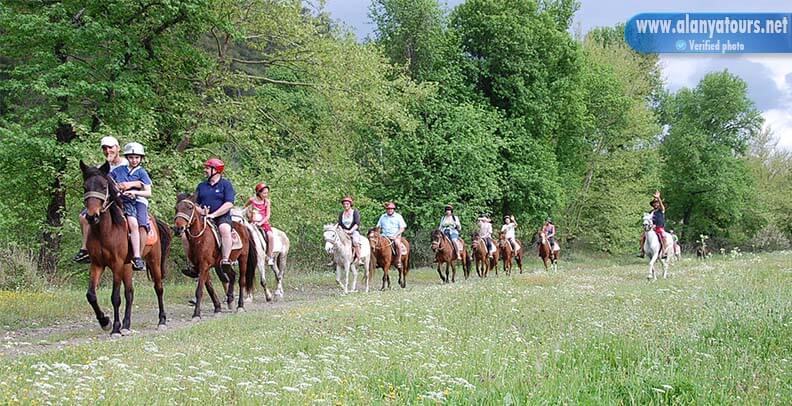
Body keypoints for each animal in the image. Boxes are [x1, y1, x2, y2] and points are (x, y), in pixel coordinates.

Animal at [79, 161, 172, 336]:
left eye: (103, 186)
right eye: (85, 187)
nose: (92, 216)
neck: (105, 231)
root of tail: (154, 221)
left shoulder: (116, 264)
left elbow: (115, 297)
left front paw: (115, 327)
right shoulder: (97, 264)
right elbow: (91, 295)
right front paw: (105, 322)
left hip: (154, 261)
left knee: (159, 288)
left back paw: (162, 321)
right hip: (128, 265)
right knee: (130, 293)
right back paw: (127, 325)